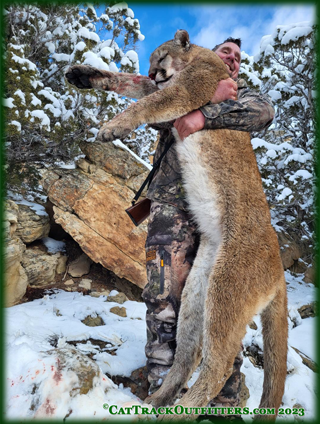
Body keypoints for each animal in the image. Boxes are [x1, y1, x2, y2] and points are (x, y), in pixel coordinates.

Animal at [65, 30, 288, 420]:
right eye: (150, 61)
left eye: (161, 56)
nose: (155, 72)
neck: (195, 57)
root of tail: (278, 269)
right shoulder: (168, 86)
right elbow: (130, 83)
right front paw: (83, 74)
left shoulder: (189, 88)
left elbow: (150, 101)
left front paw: (113, 126)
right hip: (197, 288)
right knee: (188, 352)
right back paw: (157, 400)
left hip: (227, 290)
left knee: (218, 365)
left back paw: (177, 410)